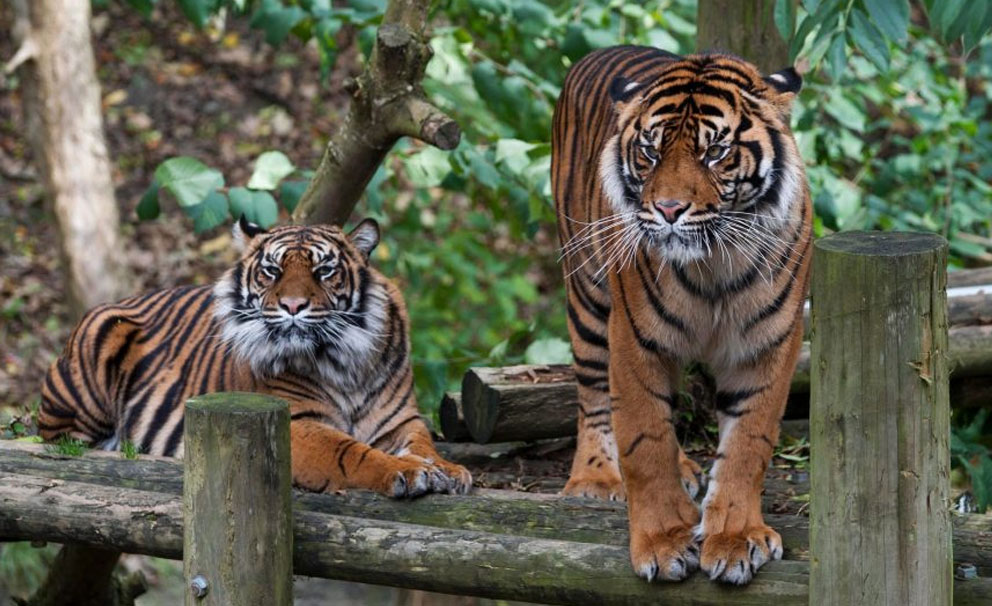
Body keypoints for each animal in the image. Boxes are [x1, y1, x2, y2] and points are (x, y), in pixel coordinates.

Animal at [39, 218, 472, 498]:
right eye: (272, 270)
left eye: (324, 270)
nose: (293, 305)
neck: (345, 359)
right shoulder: (296, 423)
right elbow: (352, 451)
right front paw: (408, 472)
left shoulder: (400, 420)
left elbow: (424, 443)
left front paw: (448, 470)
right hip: (95, 350)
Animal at [552, 45, 812, 588]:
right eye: (650, 153)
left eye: (715, 153)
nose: (668, 209)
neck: (714, 262)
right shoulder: (634, 340)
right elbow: (644, 440)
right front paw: (663, 540)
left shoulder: (769, 345)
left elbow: (748, 444)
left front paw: (735, 539)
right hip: (587, 291)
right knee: (594, 393)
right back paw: (593, 477)